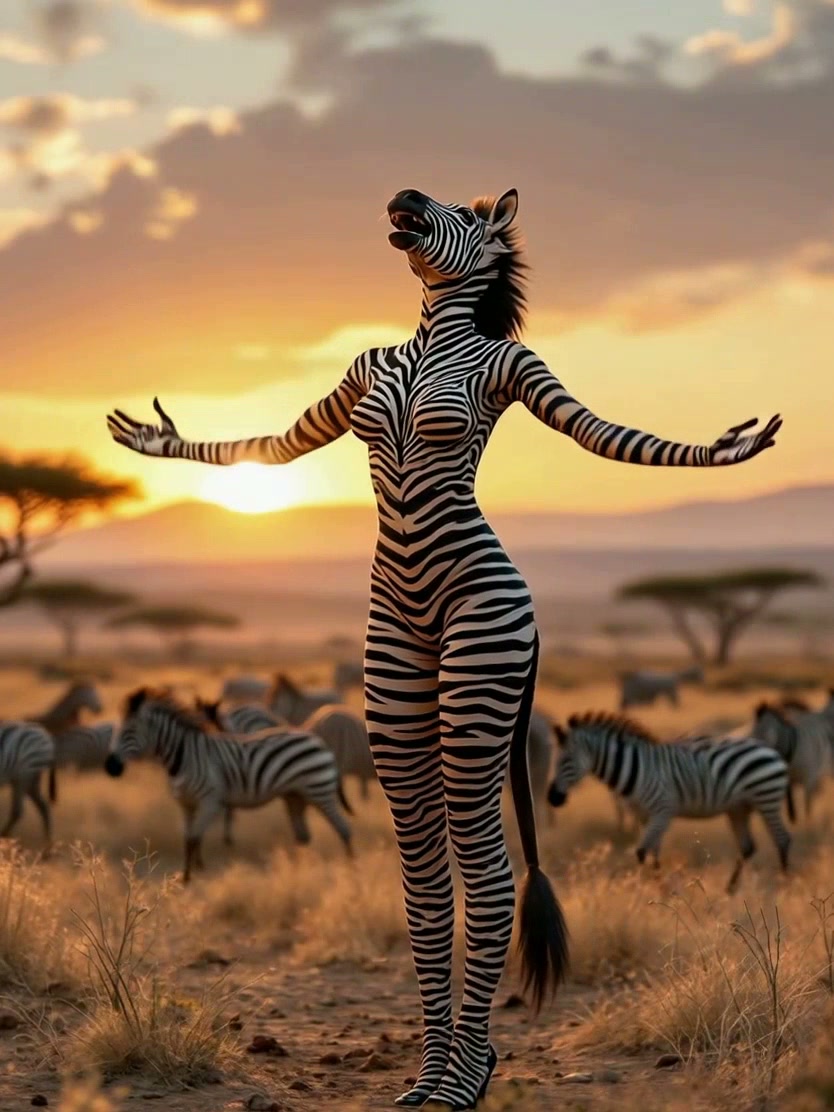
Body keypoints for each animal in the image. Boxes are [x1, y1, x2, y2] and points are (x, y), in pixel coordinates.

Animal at [106, 688, 353, 881]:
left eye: (129, 731)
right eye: (116, 729)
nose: (110, 766)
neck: (184, 756)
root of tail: (319, 741)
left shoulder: (210, 800)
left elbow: (195, 837)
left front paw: (189, 877)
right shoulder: (186, 804)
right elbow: (188, 838)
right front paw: (189, 872)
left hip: (319, 789)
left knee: (343, 828)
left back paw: (350, 866)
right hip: (295, 796)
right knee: (304, 836)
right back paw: (299, 867)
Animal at [548, 712, 791, 891]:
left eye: (566, 760)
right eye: (554, 760)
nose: (552, 798)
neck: (636, 768)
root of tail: (771, 750)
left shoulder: (663, 810)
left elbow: (642, 851)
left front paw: (642, 887)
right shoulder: (644, 815)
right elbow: (653, 853)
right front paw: (657, 887)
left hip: (766, 798)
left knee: (782, 839)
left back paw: (782, 885)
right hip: (739, 808)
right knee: (748, 847)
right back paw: (729, 890)